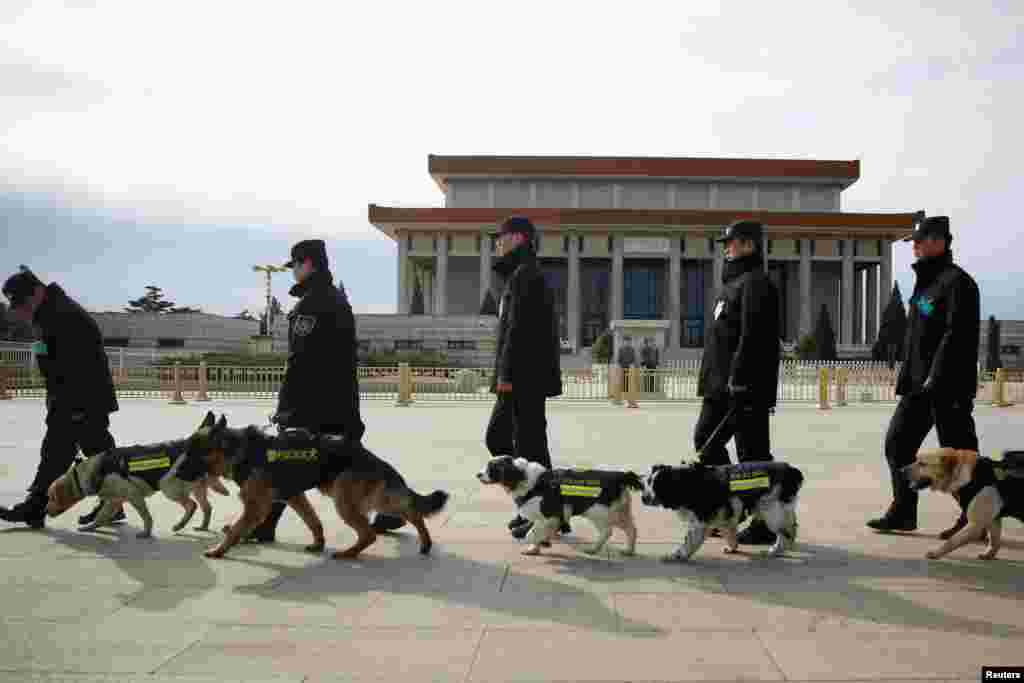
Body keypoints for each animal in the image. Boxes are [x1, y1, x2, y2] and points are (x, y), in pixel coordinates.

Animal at [181, 413, 452, 557]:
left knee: (374, 531)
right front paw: (318, 542)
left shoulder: (255, 507)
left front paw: (219, 550)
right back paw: (425, 542)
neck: (240, 451)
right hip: (358, 496)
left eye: (193, 453)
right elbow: (312, 520)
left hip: (345, 501)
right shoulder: (294, 496)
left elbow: (237, 528)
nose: (178, 472)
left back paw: (349, 553)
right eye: (184, 450)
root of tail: (371, 457)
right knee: (411, 511)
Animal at [473, 454, 634, 557]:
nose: (478, 475)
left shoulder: (549, 515)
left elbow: (532, 533)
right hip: (620, 512)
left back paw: (593, 549)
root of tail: (619, 477)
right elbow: (537, 531)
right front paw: (534, 548)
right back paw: (628, 550)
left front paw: (536, 543)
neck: (531, 481)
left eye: (492, 468)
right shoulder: (543, 517)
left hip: (598, 513)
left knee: (607, 532)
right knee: (631, 530)